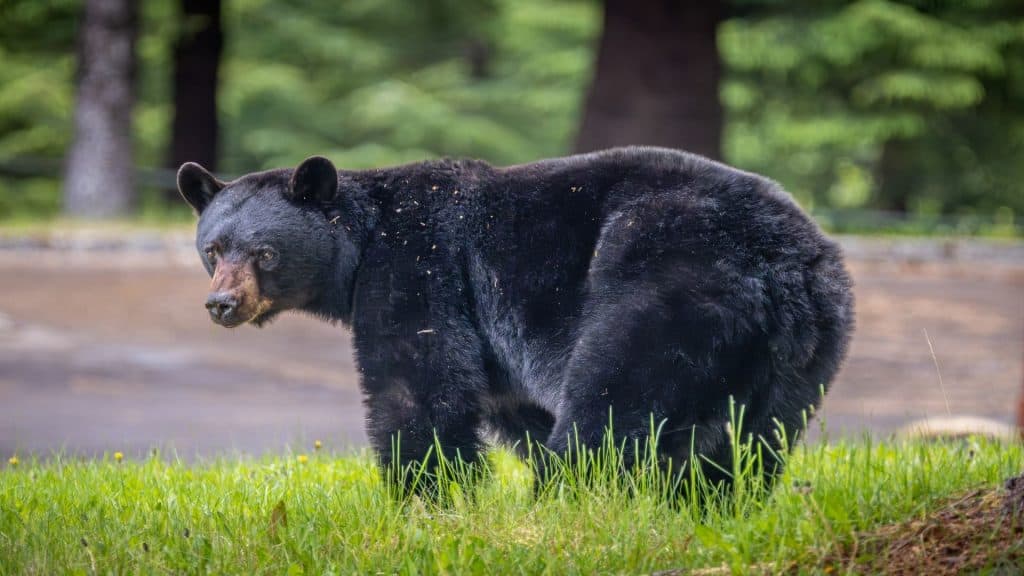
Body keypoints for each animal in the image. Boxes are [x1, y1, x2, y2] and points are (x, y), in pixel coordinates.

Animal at [178, 146, 856, 487]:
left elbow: (417, 384)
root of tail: (783, 263)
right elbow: (510, 402)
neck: (361, 244)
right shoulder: (493, 336)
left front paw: (429, 496)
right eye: (213, 249)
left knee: (613, 405)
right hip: (808, 348)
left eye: (264, 252)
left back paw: (567, 498)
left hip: (669, 284)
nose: (221, 304)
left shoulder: (419, 266)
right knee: (754, 441)